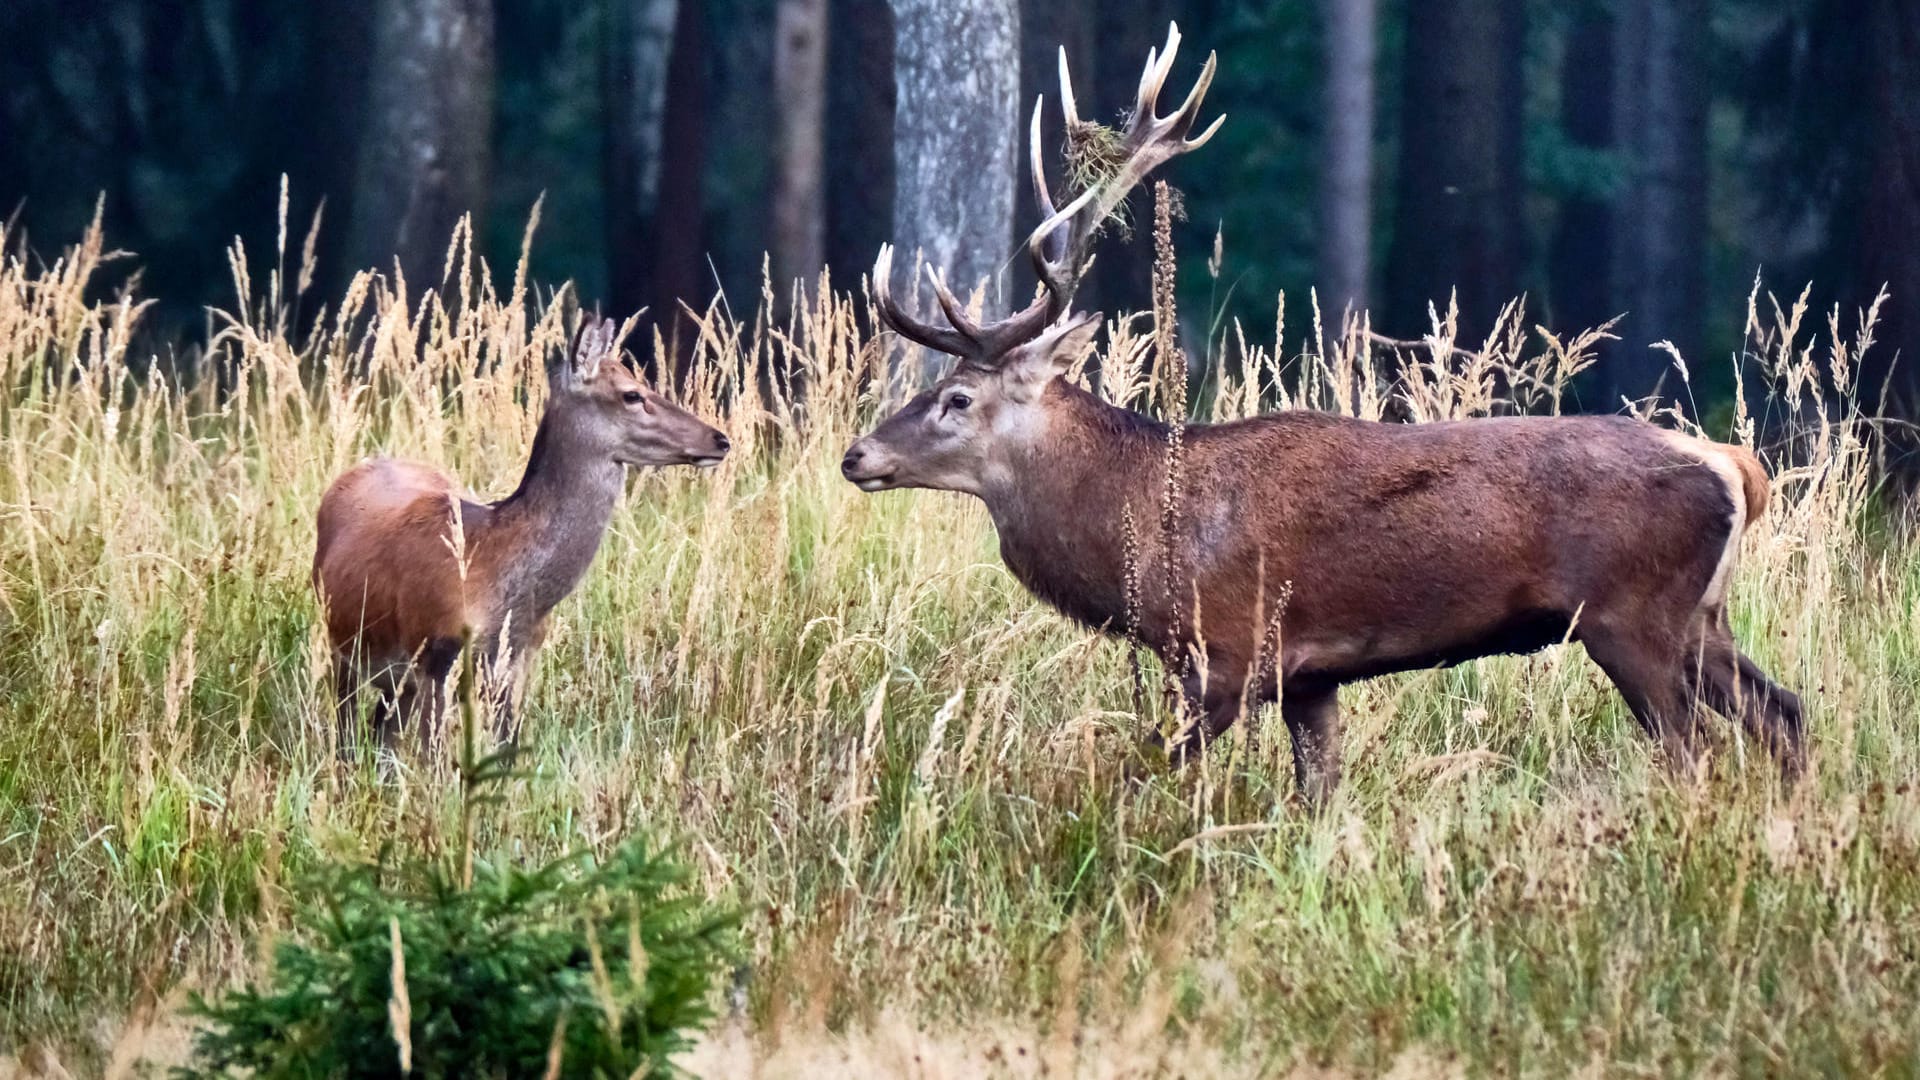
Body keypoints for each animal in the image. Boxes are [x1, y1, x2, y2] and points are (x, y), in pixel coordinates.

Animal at [314, 315, 725, 753]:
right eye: (632, 394)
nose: (720, 439)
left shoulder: (518, 658)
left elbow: (506, 747)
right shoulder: (436, 652)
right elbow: (432, 758)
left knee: (382, 735)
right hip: (342, 646)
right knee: (349, 735)